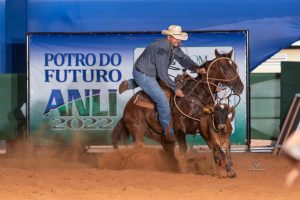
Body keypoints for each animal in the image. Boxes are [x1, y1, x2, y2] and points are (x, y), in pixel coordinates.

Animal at [112, 49, 244, 177]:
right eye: (224, 66)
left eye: (234, 66)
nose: (240, 87)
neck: (196, 95)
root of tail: (128, 107)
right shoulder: (180, 126)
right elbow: (183, 149)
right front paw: (185, 170)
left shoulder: (203, 127)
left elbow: (214, 145)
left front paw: (225, 166)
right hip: (138, 131)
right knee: (138, 148)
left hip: (158, 136)